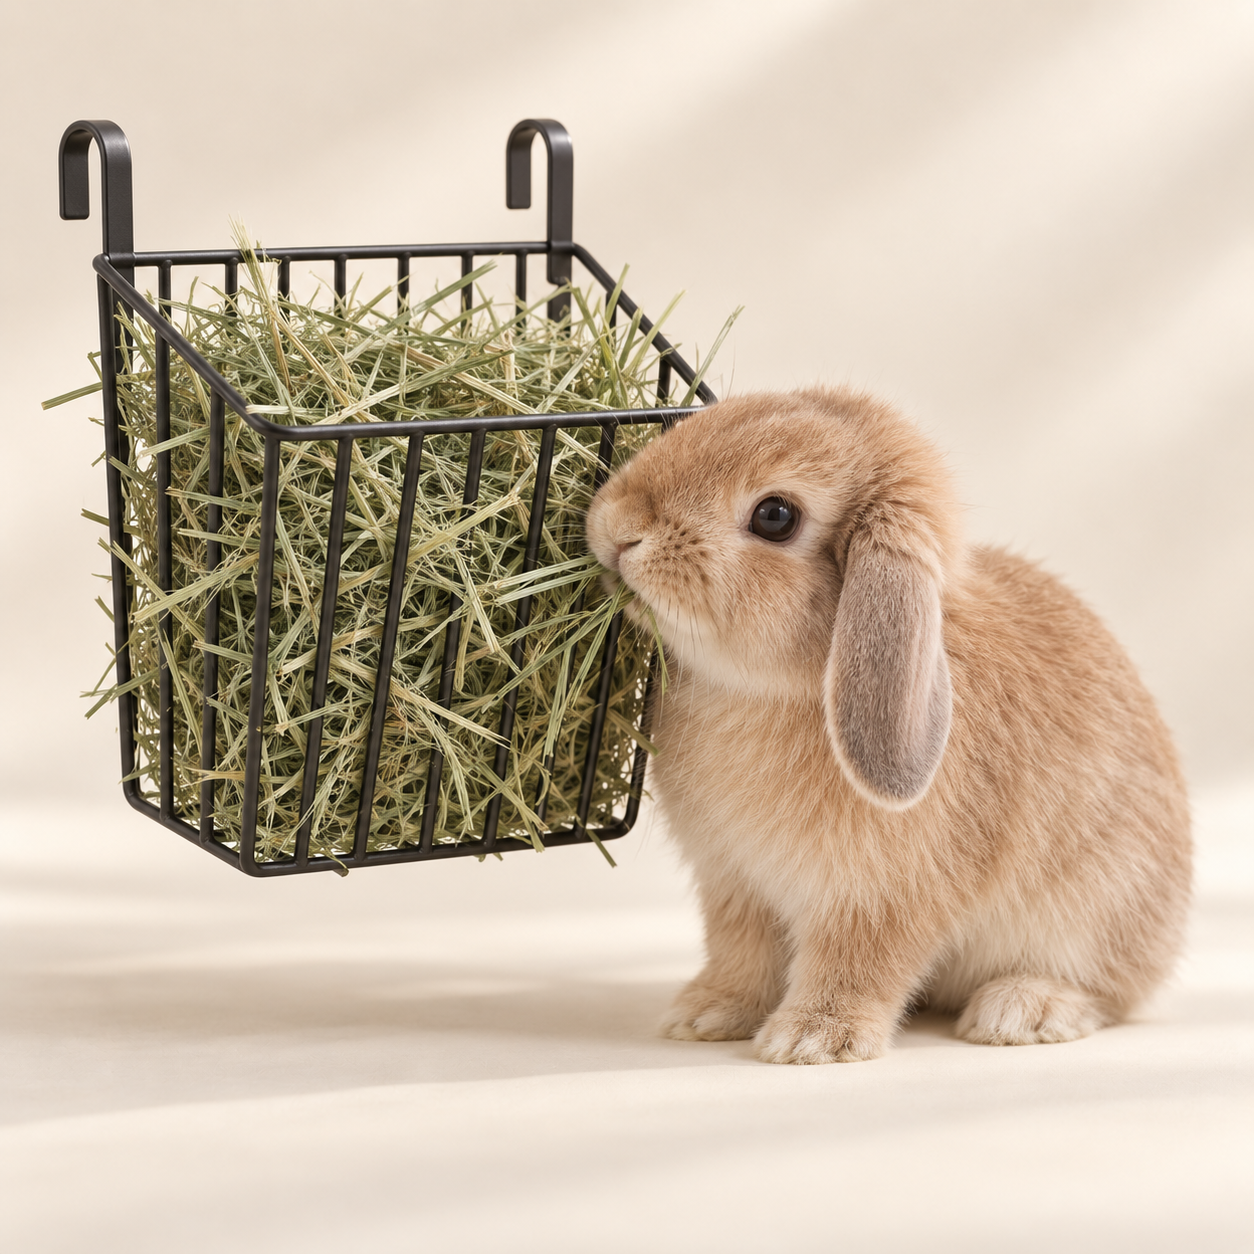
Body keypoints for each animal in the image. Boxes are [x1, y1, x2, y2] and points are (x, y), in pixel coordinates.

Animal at [585, 387, 1191, 1064]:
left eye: (775, 516)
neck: (794, 684)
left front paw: (812, 1039)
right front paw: (706, 1015)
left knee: (1108, 991)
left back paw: (1022, 1010)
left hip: (1100, 910)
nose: (618, 527)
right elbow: (741, 955)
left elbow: (858, 963)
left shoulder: (882, 899)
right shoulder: (735, 885)